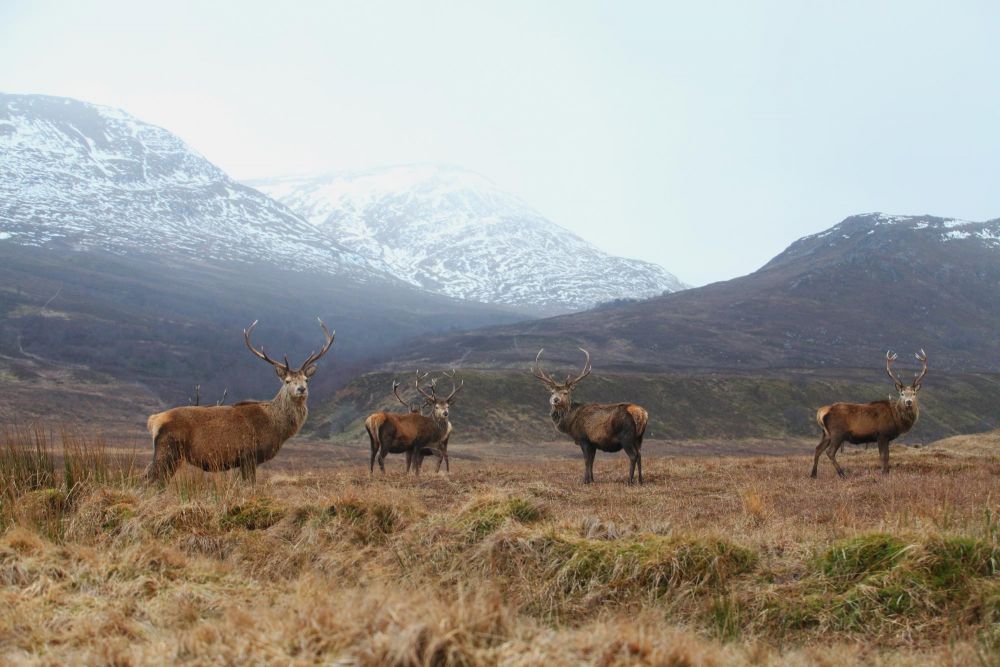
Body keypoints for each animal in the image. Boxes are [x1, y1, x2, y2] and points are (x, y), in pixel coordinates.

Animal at [143, 320, 336, 482]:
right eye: (287, 381)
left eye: (306, 379)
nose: (301, 389)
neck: (276, 427)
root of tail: (153, 420)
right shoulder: (248, 455)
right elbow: (250, 485)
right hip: (168, 450)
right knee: (149, 479)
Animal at [532, 350, 648, 486]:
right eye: (552, 392)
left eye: (565, 392)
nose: (555, 400)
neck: (570, 423)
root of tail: (642, 414)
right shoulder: (593, 443)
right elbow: (592, 460)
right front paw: (592, 480)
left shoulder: (584, 439)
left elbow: (587, 460)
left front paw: (585, 480)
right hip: (639, 438)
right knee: (640, 455)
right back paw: (640, 480)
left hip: (626, 437)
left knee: (633, 456)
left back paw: (629, 481)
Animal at [808, 350, 924, 480]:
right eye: (902, 393)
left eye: (914, 393)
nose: (908, 402)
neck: (896, 419)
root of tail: (822, 411)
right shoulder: (882, 434)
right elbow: (883, 456)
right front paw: (883, 473)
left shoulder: (886, 437)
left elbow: (888, 455)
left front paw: (887, 473)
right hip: (837, 433)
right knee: (829, 452)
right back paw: (842, 474)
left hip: (826, 434)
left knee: (818, 449)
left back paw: (813, 474)